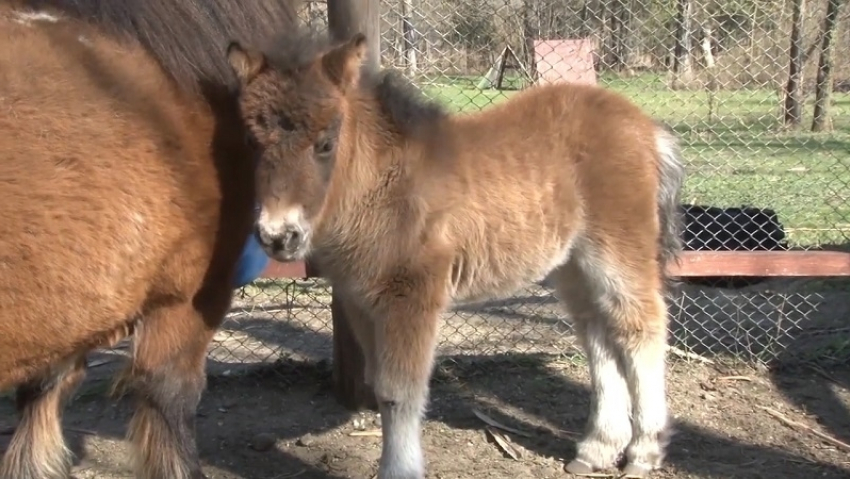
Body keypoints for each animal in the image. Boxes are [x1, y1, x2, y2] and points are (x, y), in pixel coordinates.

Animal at [229, 31, 684, 478]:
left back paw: (643, 452)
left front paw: (400, 469)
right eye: (250, 141)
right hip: (573, 265)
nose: (278, 236)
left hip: (617, 248)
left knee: (641, 325)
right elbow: (378, 384)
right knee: (599, 333)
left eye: (325, 144)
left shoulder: (411, 295)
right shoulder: (359, 300)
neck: (384, 186)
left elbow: (398, 392)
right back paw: (597, 448)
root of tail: (646, 127)